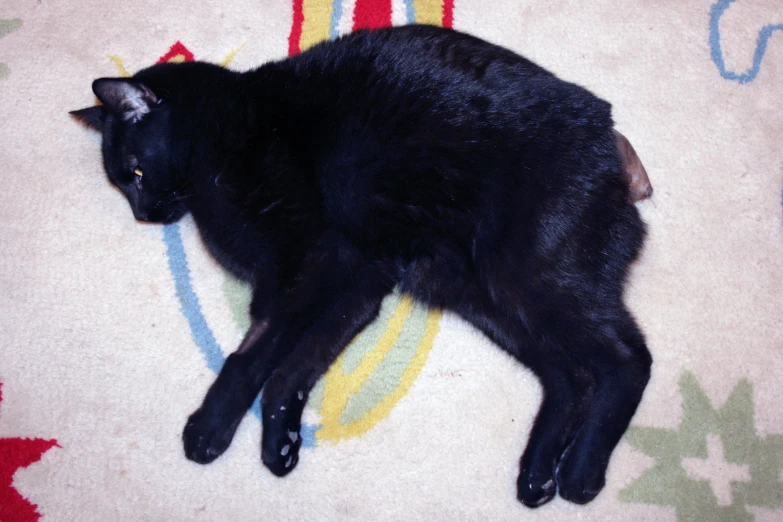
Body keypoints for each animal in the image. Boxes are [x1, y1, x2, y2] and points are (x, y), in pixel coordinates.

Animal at [72, 24, 648, 504]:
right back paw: (537, 475)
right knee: (571, 377)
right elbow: (295, 366)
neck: (225, 132)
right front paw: (280, 441)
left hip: (525, 278)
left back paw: (581, 472)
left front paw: (209, 428)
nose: (144, 215)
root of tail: (613, 146)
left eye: (135, 173)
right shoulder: (356, 281)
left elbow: (253, 357)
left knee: (628, 360)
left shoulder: (313, 267)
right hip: (482, 296)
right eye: (123, 184)